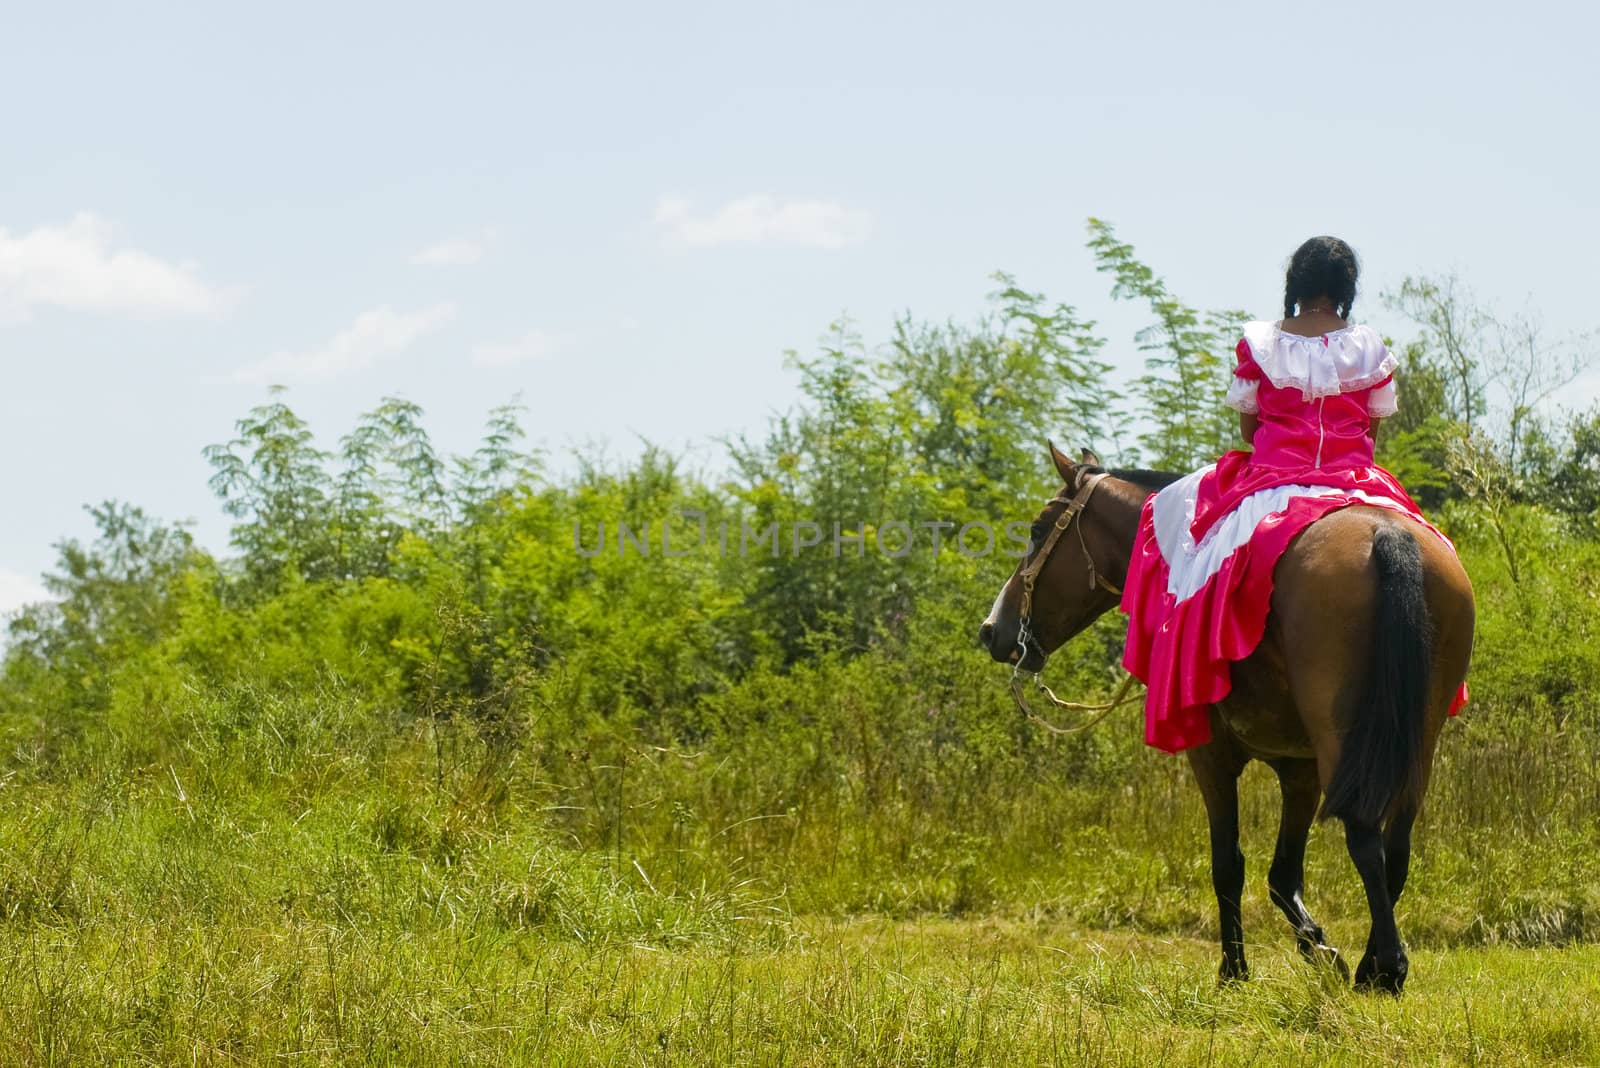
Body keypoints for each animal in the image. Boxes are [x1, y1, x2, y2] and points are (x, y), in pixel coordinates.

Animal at [972, 441, 1472, 991]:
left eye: (1039, 530)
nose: (992, 630)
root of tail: (1386, 535)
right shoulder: (1299, 768)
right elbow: (1283, 876)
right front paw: (1320, 951)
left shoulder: (1210, 754)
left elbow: (1228, 864)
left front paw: (1234, 971)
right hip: (1416, 741)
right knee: (1394, 845)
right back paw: (1370, 964)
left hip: (1345, 741)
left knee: (1364, 835)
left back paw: (1385, 969)